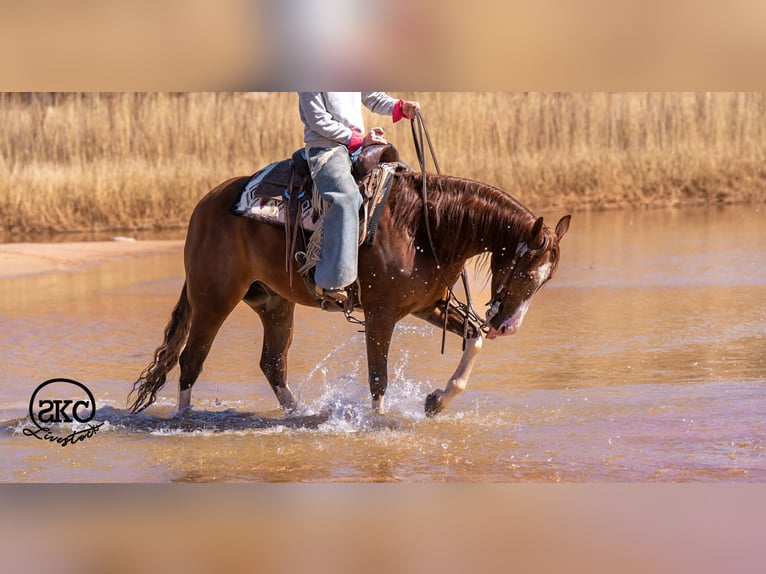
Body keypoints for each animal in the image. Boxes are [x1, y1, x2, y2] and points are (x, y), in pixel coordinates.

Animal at [127, 168, 570, 418]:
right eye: (526, 273)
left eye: (545, 280)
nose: (508, 327)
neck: (424, 227)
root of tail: (205, 205)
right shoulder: (381, 313)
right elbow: (378, 377)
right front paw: (378, 424)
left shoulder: (430, 306)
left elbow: (474, 339)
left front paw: (436, 401)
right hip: (213, 300)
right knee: (190, 361)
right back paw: (186, 421)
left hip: (273, 303)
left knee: (272, 364)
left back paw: (300, 416)